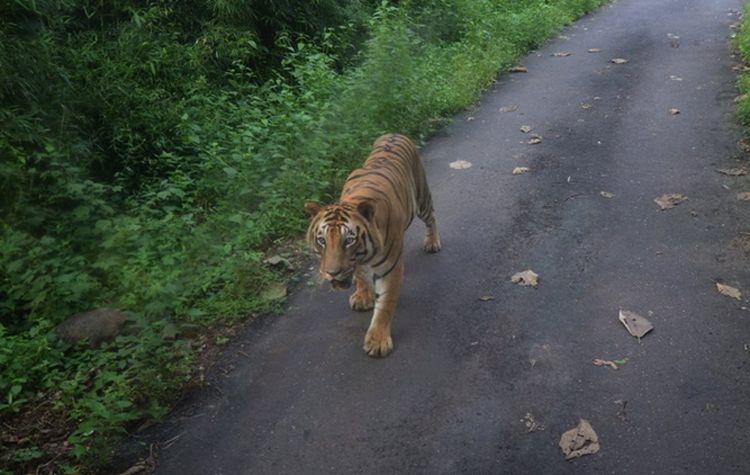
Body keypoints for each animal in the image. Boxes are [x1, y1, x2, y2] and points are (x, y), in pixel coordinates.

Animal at [306, 134, 440, 356]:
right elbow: (361, 277)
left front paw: (377, 341)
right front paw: (363, 296)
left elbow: (384, 305)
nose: (332, 273)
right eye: (322, 240)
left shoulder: (391, 269)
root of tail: (394, 133)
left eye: (348, 240)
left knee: (431, 217)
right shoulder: (359, 265)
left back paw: (432, 242)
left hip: (421, 199)